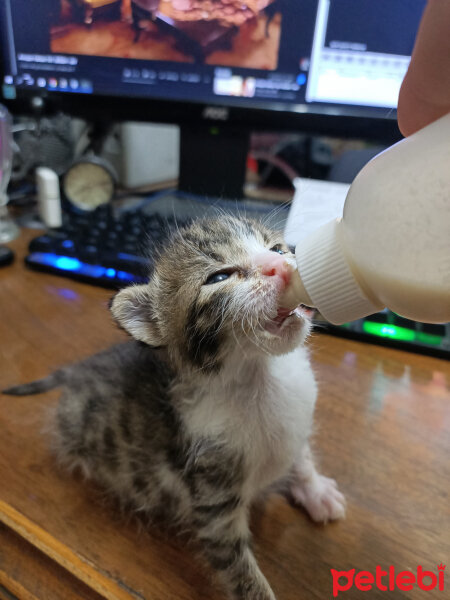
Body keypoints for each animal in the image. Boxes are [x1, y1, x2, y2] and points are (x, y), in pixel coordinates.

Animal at [3, 216, 344, 600]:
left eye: (277, 249)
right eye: (218, 278)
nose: (282, 266)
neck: (262, 377)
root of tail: (80, 368)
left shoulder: (297, 420)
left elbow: (300, 455)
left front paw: (315, 490)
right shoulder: (212, 500)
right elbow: (240, 571)